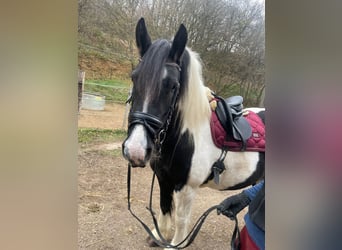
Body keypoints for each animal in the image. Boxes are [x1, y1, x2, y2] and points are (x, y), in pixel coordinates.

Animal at [123, 17, 264, 248]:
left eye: (173, 86)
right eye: (134, 77)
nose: (135, 150)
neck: (184, 137)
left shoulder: (186, 188)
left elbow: (181, 219)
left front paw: (175, 244)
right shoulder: (164, 180)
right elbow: (164, 208)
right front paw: (159, 235)